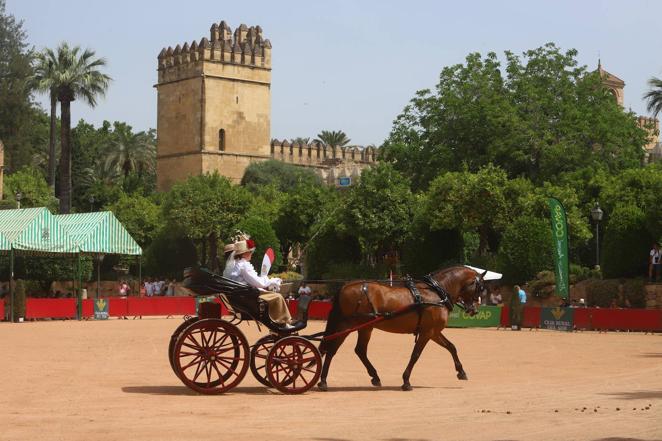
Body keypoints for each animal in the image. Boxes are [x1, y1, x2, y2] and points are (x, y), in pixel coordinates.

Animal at [320, 266, 486, 390]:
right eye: (480, 288)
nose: (474, 310)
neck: (436, 293)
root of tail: (345, 286)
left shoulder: (433, 332)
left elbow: (451, 347)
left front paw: (461, 371)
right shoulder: (427, 333)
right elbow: (415, 355)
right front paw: (406, 381)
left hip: (365, 327)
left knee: (359, 350)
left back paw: (375, 377)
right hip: (347, 326)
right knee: (332, 349)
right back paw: (323, 381)